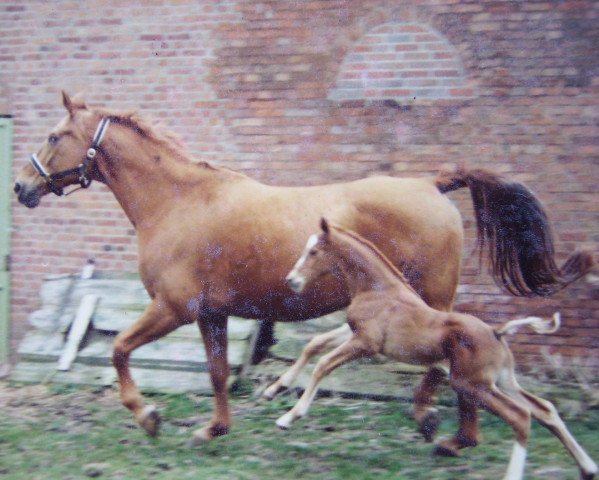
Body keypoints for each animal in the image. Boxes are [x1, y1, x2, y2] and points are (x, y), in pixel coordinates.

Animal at [280, 219, 596, 480]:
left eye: (313, 252)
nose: (291, 281)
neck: (378, 290)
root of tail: (498, 332)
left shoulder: (365, 344)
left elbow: (323, 364)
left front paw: (289, 417)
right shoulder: (354, 334)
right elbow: (315, 346)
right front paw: (279, 390)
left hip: (472, 384)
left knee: (521, 417)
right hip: (498, 382)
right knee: (544, 409)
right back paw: (588, 468)